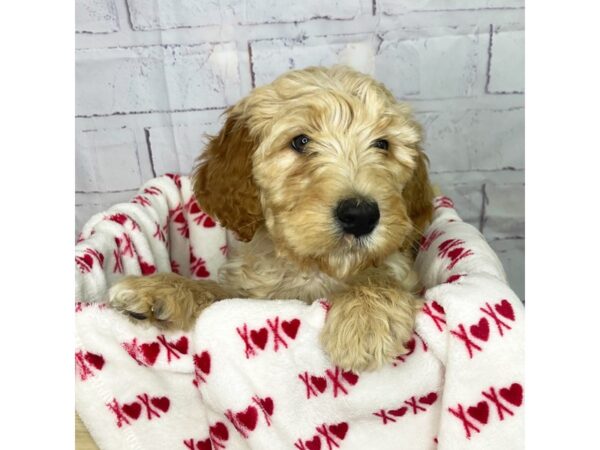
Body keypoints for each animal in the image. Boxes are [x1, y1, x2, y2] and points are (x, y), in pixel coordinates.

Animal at [110, 64, 434, 372]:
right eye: (301, 141)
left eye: (382, 144)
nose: (360, 216)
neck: (313, 270)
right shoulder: (247, 298)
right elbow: (217, 291)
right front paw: (158, 290)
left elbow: (380, 279)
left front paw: (365, 320)